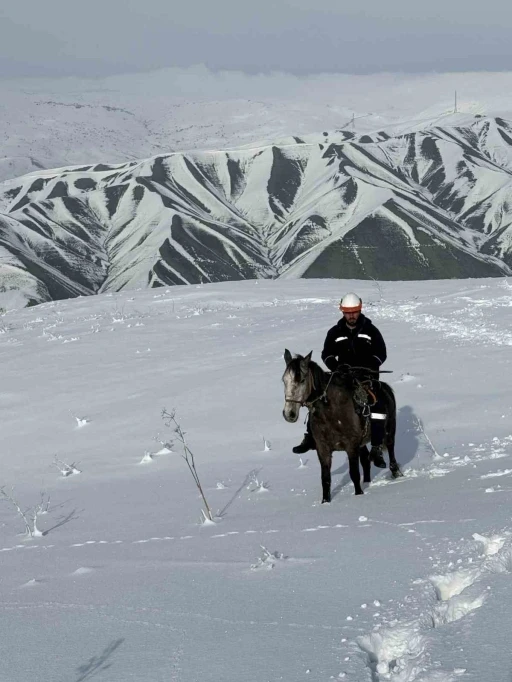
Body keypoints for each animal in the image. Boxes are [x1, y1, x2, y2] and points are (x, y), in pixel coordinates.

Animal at [282, 350, 402, 500]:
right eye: (284, 380)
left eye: (302, 380)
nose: (289, 414)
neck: (332, 413)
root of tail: (386, 388)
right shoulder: (323, 449)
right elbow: (325, 479)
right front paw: (326, 501)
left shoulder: (351, 446)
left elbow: (354, 474)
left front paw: (359, 495)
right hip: (362, 443)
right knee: (365, 460)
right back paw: (367, 481)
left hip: (390, 430)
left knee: (390, 449)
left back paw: (394, 471)